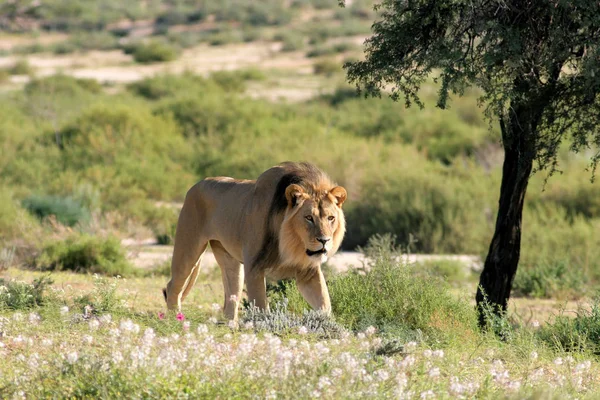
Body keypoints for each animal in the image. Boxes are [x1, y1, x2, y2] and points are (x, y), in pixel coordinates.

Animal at [164, 161, 346, 320]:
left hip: (228, 259)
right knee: (173, 287)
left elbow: (324, 303)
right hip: (188, 248)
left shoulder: (308, 272)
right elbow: (261, 307)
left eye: (330, 218)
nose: (324, 240)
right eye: (308, 218)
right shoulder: (254, 267)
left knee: (231, 297)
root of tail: (197, 184)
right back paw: (174, 321)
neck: (291, 243)